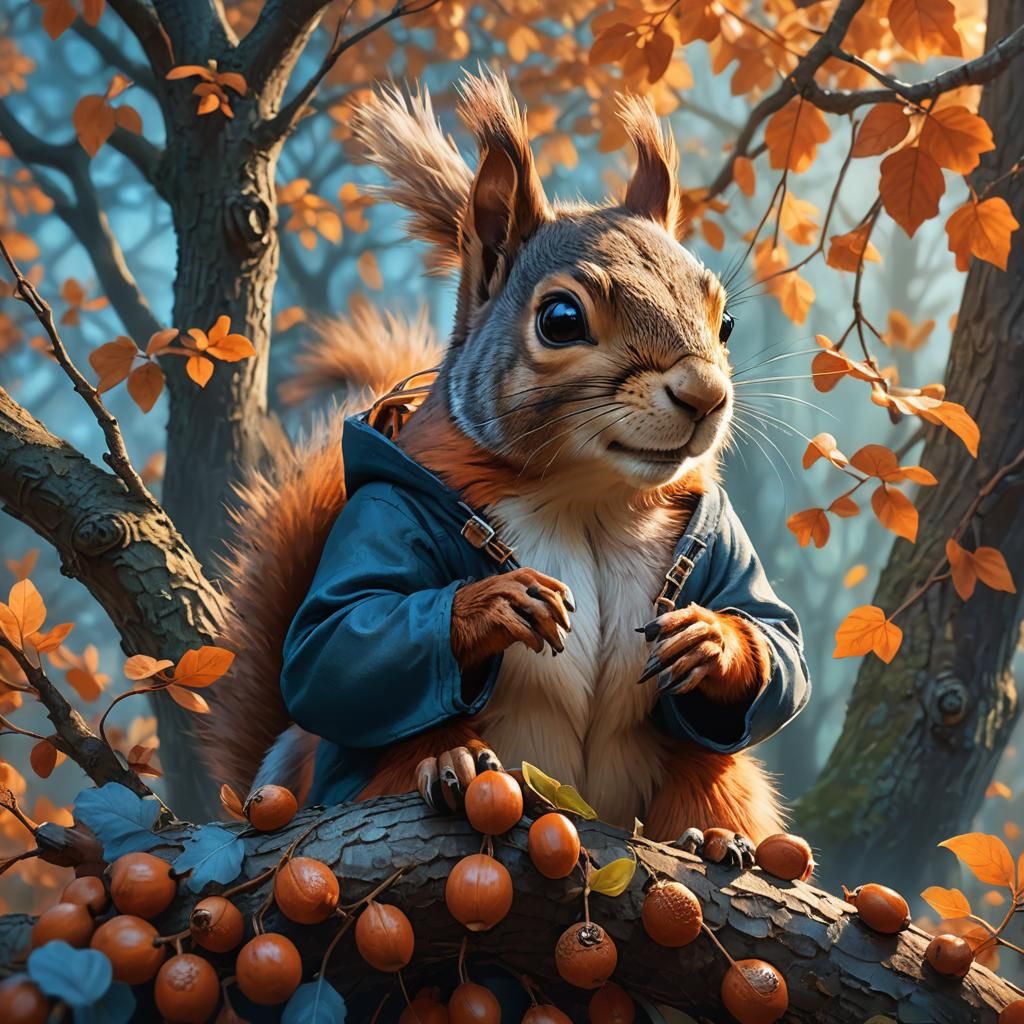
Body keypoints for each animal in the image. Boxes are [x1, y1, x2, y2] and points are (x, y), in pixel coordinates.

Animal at [204, 73, 809, 859]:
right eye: (561, 319)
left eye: (725, 321)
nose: (706, 396)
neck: (590, 496)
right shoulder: (381, 514)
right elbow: (332, 644)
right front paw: (496, 604)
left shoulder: (723, 535)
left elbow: (778, 637)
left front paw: (713, 640)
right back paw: (453, 762)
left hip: (714, 776)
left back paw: (715, 838)